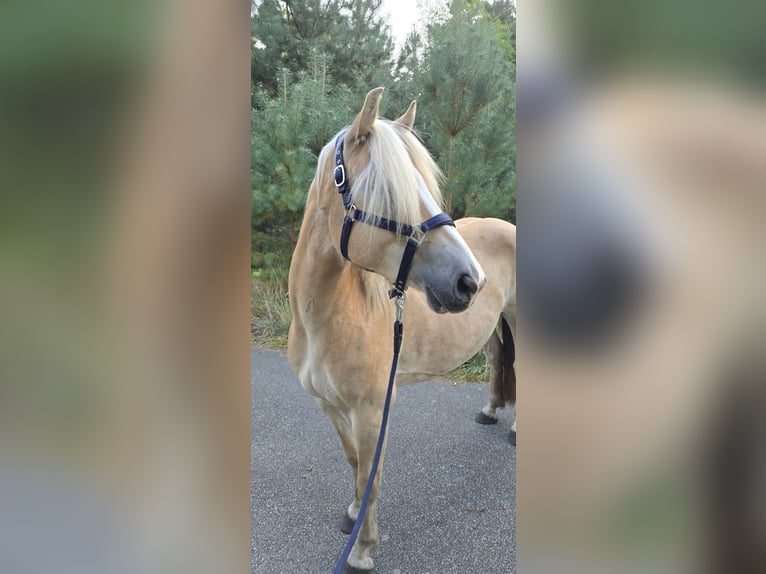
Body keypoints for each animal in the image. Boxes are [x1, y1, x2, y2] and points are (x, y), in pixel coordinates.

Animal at [288, 88, 516, 572]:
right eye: (394, 193)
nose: (471, 281)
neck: (325, 320)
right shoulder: (329, 406)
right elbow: (354, 462)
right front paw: (352, 515)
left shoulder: (374, 411)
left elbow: (369, 476)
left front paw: (362, 548)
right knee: (494, 363)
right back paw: (489, 411)